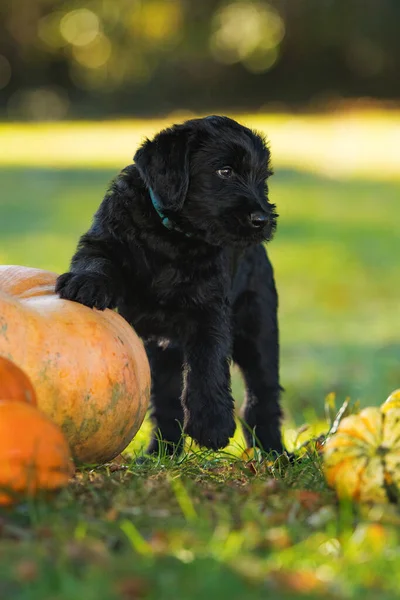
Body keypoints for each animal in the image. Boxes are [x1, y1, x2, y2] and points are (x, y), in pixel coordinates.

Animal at [56, 115, 282, 458]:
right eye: (225, 171)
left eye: (263, 178)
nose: (263, 220)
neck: (171, 236)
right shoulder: (105, 240)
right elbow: (97, 259)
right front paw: (85, 284)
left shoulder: (209, 308)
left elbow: (208, 363)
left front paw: (212, 425)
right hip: (161, 351)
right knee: (165, 401)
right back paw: (161, 453)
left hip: (259, 330)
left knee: (263, 396)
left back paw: (277, 454)